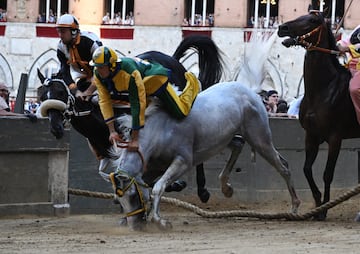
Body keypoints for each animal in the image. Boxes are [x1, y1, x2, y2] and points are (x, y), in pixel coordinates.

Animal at [38, 34, 225, 203]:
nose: (55, 128)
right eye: (41, 96)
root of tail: (172, 59)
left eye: (60, 92)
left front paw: (174, 184)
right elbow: (108, 173)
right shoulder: (106, 152)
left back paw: (202, 190)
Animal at [278, 10, 358, 220]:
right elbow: (306, 169)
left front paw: (324, 208)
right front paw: (317, 202)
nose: (282, 28)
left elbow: (327, 174)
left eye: (313, 20)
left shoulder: (335, 137)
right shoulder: (311, 136)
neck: (324, 89)